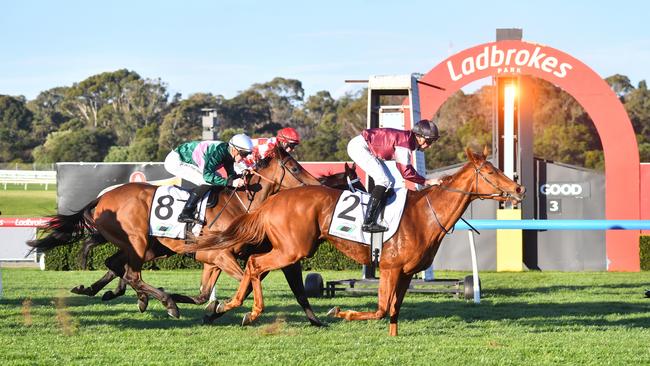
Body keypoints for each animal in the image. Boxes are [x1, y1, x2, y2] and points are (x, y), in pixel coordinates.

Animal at [27, 144, 322, 318]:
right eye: (294, 167)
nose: (317, 185)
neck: (240, 205)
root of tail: (102, 197)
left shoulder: (212, 259)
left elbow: (211, 291)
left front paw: (212, 306)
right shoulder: (219, 255)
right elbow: (247, 282)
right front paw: (221, 307)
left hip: (144, 246)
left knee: (115, 264)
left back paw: (111, 292)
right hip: (137, 241)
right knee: (131, 273)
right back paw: (166, 302)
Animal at [191, 148, 520, 334]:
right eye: (490, 171)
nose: (519, 188)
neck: (426, 214)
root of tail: (271, 201)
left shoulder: (405, 273)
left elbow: (394, 310)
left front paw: (393, 336)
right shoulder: (389, 267)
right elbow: (382, 309)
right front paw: (340, 311)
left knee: (251, 266)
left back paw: (224, 307)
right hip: (292, 249)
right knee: (255, 264)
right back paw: (245, 310)